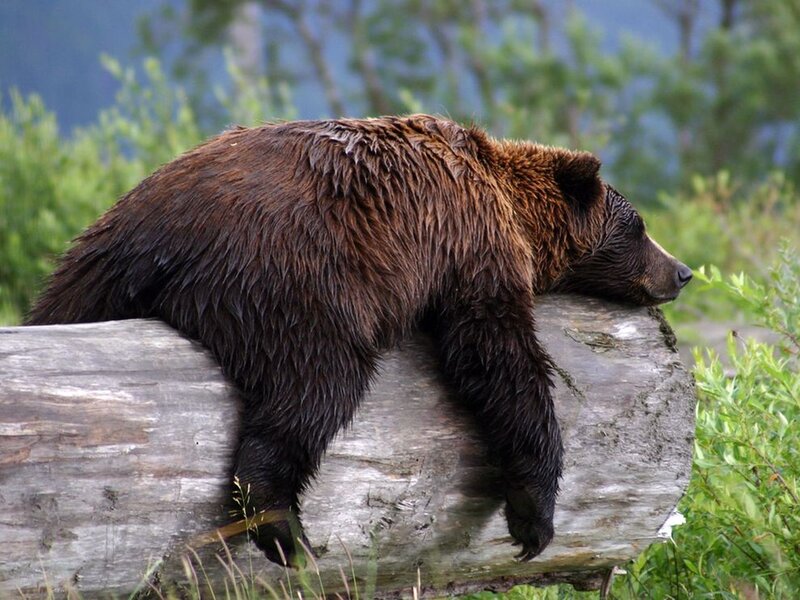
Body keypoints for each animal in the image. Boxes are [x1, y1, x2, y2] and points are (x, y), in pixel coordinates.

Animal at [26, 114, 692, 565]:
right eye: (639, 226)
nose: (682, 271)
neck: (508, 204)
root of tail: (153, 238)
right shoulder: (471, 245)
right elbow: (496, 357)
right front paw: (533, 518)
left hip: (86, 272)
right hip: (292, 278)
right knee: (316, 385)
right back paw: (285, 529)